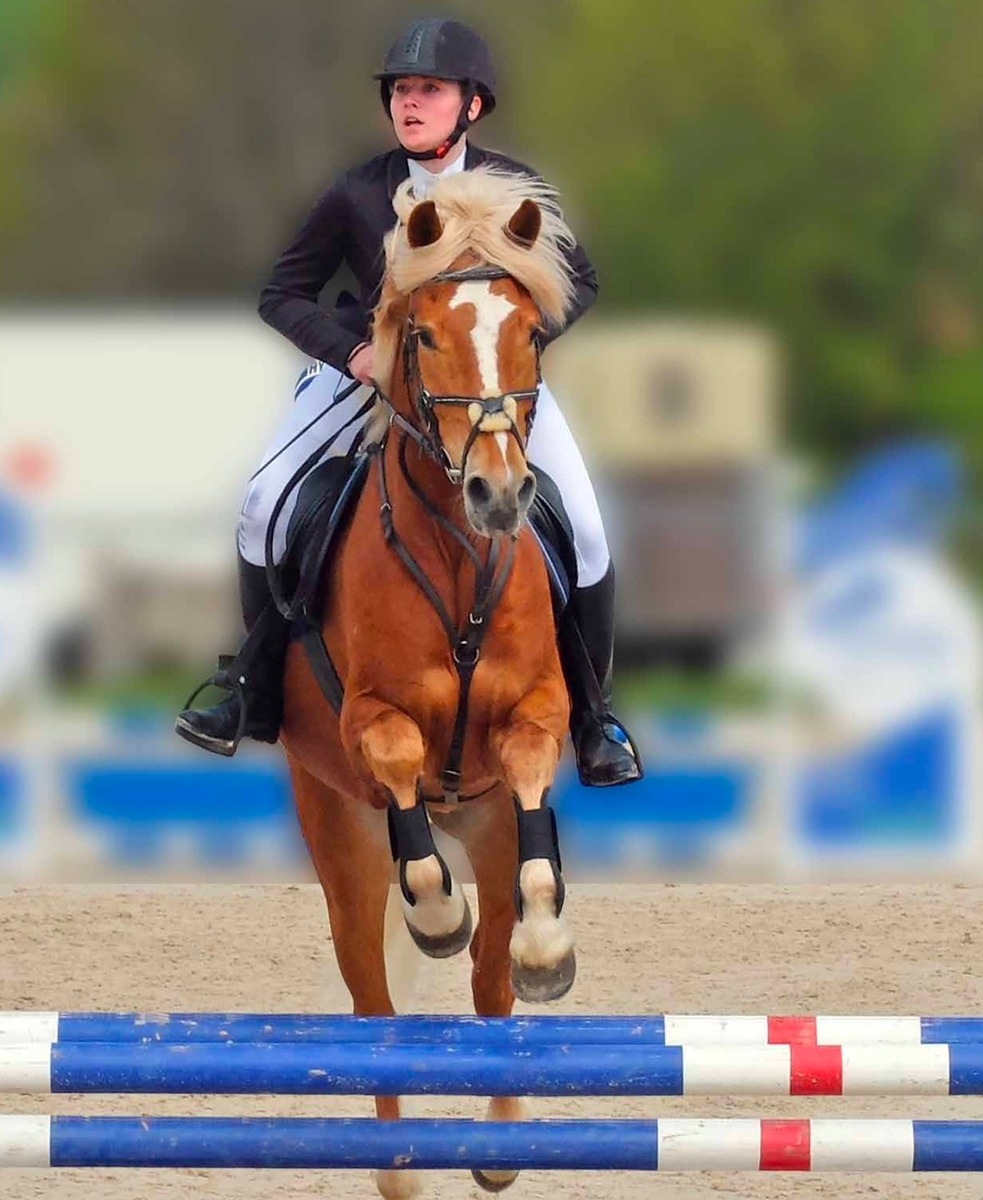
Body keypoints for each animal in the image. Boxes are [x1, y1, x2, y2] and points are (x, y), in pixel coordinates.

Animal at [280, 169, 580, 1200]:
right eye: (421, 336)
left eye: (529, 331)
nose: (498, 494)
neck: (456, 556)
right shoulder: (368, 723)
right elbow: (402, 769)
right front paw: (437, 911)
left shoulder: (534, 720)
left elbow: (531, 816)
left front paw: (546, 945)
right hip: (335, 832)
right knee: (372, 998)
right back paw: (400, 1165)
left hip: (480, 823)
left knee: (490, 985)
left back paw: (496, 1144)